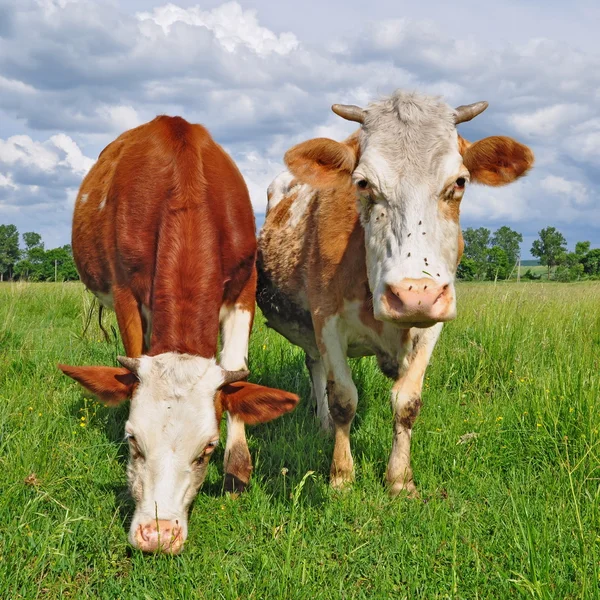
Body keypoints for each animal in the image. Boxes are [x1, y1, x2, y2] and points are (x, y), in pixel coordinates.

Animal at [58, 116, 298, 552]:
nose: (158, 534)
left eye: (207, 448)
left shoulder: (245, 287)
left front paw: (237, 472)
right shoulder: (125, 292)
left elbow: (236, 372)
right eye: (133, 440)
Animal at [258, 90, 536, 496]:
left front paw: (401, 480)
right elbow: (343, 398)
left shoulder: (433, 323)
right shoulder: (327, 319)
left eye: (460, 182)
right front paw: (341, 477)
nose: (414, 293)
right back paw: (324, 426)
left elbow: (407, 402)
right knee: (318, 368)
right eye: (362, 183)